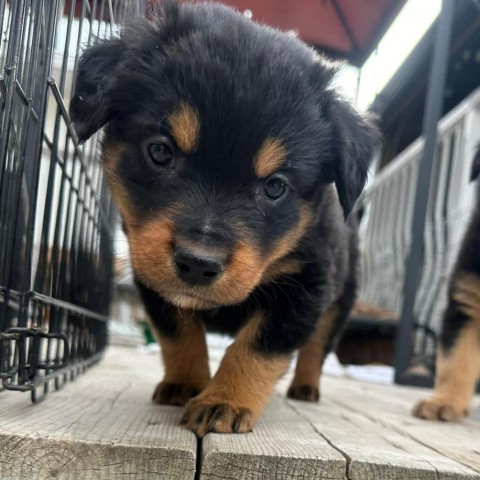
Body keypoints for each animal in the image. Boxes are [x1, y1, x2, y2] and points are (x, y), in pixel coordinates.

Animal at [71, 0, 378, 436]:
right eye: (160, 151)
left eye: (275, 187)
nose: (198, 263)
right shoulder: (150, 274)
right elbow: (178, 334)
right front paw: (185, 383)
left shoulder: (306, 286)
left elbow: (257, 347)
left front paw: (224, 402)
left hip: (342, 297)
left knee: (318, 346)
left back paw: (306, 387)